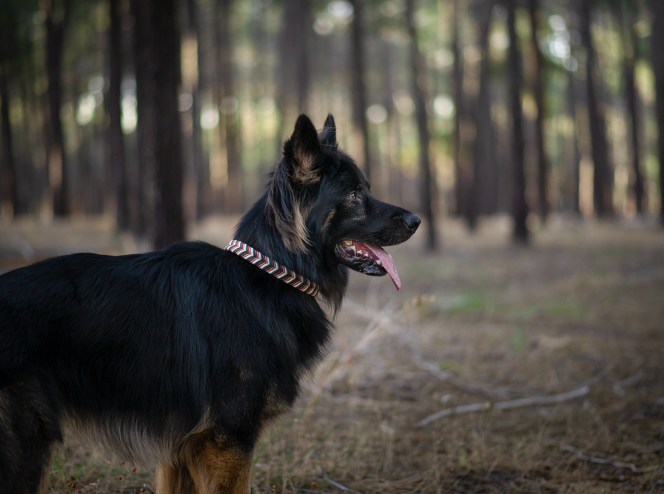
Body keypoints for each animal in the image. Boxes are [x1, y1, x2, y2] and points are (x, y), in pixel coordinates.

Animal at [0, 114, 420, 492]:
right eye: (353, 196)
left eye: (366, 189)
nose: (416, 220)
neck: (270, 276)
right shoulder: (226, 442)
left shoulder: (182, 450)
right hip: (27, 449)